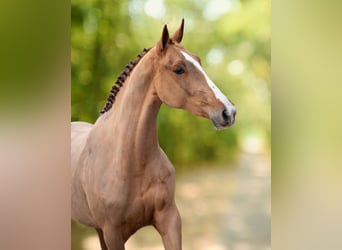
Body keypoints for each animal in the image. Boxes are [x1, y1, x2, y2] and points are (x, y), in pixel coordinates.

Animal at [69, 18, 235, 250]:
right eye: (178, 69)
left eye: (199, 60)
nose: (229, 111)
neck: (130, 160)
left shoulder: (170, 220)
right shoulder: (113, 233)